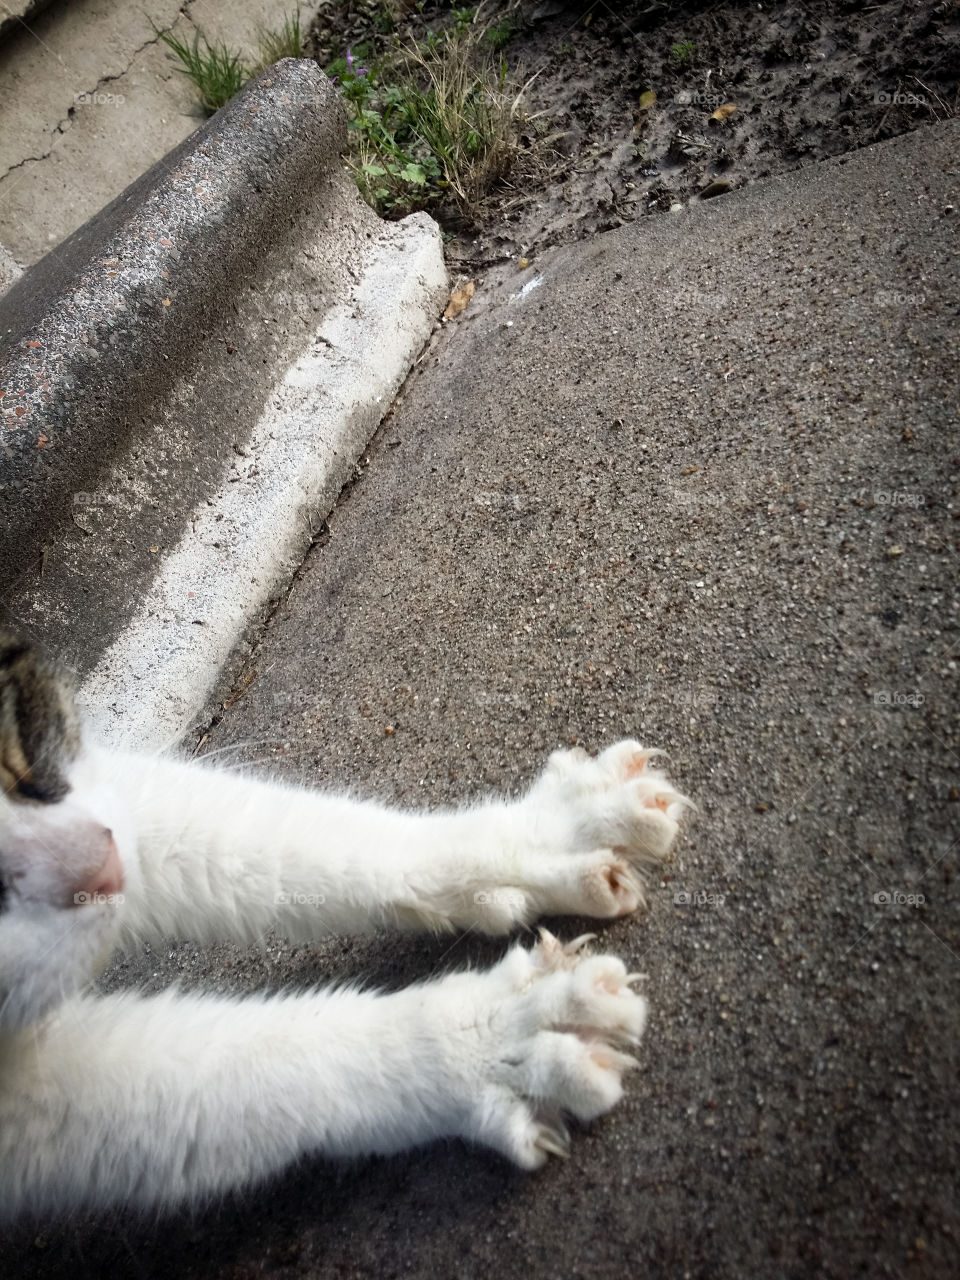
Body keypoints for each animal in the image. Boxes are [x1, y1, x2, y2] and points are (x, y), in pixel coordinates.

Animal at [0, 629, 691, 1218]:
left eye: (12, 748)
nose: (105, 869)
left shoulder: (117, 794)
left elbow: (317, 843)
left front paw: (549, 837)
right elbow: (254, 1072)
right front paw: (486, 1042)